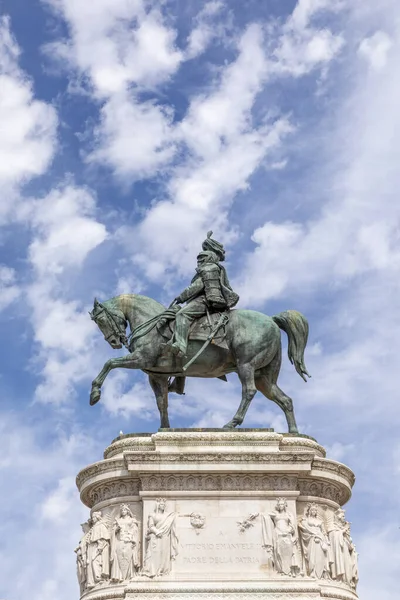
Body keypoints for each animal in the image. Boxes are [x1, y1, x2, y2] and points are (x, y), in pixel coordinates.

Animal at [89, 294, 310, 432]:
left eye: (101, 320)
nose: (114, 342)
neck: (151, 323)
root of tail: (272, 320)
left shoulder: (142, 358)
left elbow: (109, 363)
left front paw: (95, 393)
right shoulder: (156, 375)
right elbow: (162, 402)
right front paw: (165, 428)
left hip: (246, 366)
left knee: (249, 391)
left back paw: (232, 423)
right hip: (264, 376)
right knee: (284, 399)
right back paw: (294, 433)